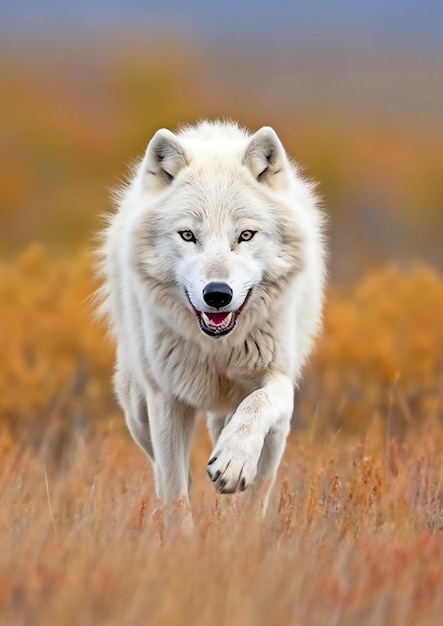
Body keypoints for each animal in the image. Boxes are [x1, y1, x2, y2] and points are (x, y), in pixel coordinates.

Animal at [99, 119, 324, 520]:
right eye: (188, 235)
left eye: (245, 235)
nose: (217, 294)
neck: (219, 348)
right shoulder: (166, 400)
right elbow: (175, 492)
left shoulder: (279, 383)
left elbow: (257, 411)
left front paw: (234, 466)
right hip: (138, 408)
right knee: (168, 471)